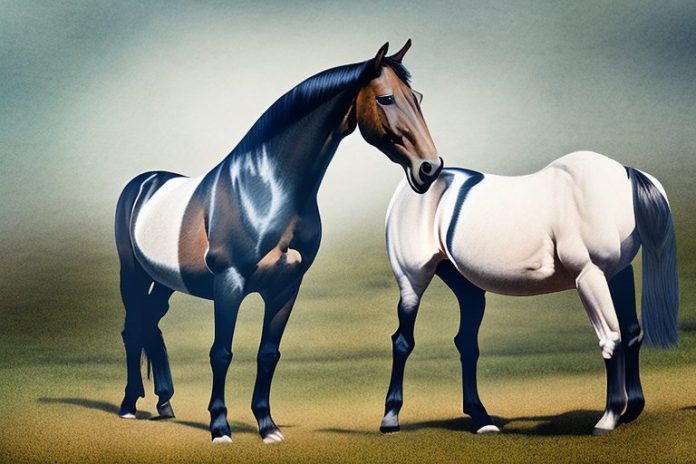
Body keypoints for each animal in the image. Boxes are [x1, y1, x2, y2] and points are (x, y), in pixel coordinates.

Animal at [114, 40, 444, 444]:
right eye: (385, 99)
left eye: (418, 97)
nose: (429, 167)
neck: (265, 191)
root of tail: (143, 182)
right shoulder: (229, 284)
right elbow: (221, 353)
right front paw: (220, 427)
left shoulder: (286, 287)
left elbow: (268, 354)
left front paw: (267, 425)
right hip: (132, 274)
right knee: (133, 329)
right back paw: (129, 405)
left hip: (165, 281)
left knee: (151, 324)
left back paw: (164, 403)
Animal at [379, 151, 678, 436]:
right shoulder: (589, 275)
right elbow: (611, 338)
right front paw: (609, 417)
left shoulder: (618, 273)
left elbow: (631, 333)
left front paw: (631, 410)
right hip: (412, 281)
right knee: (402, 341)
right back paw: (390, 418)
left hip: (467, 288)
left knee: (466, 342)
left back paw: (481, 420)